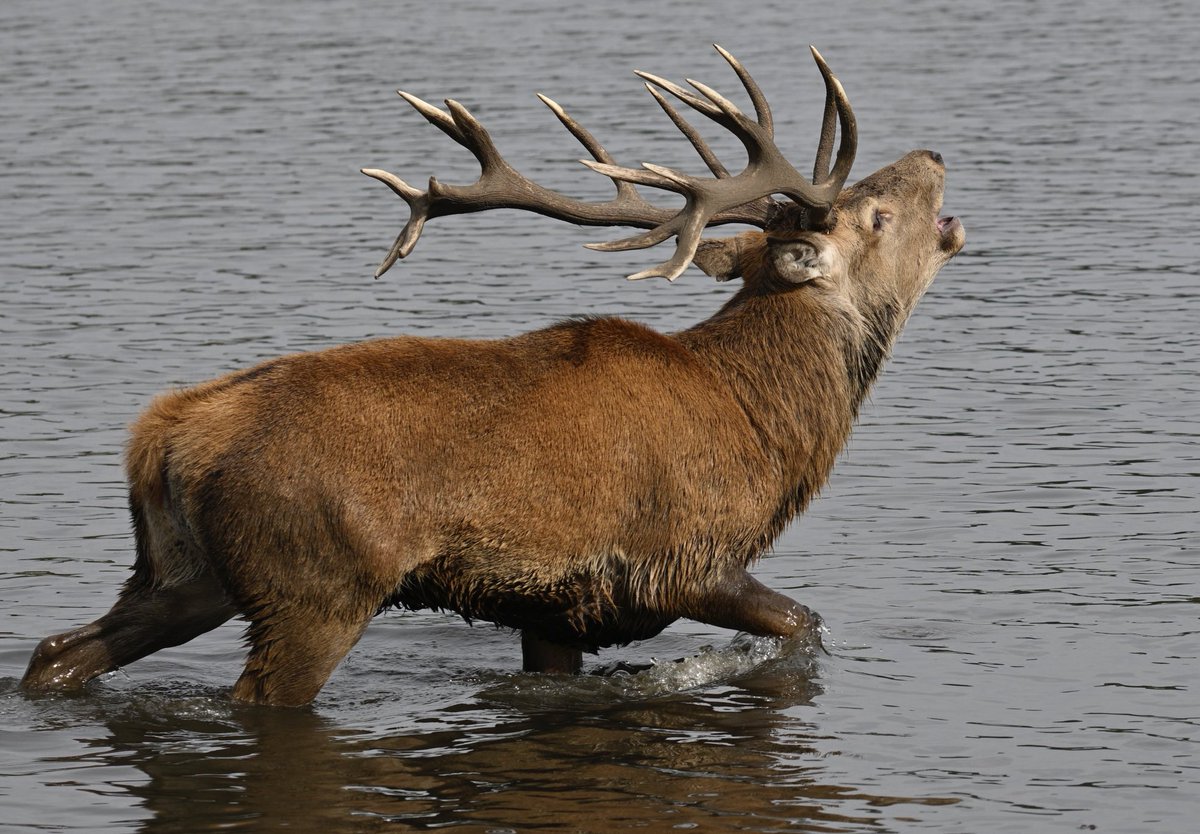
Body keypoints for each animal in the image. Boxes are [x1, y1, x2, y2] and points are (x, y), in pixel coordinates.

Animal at [21, 46, 965, 706]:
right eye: (878, 215)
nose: (933, 154)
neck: (769, 431)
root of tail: (164, 437)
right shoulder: (686, 555)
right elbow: (805, 625)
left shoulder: (555, 609)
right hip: (315, 582)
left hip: (183, 571)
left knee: (58, 650)